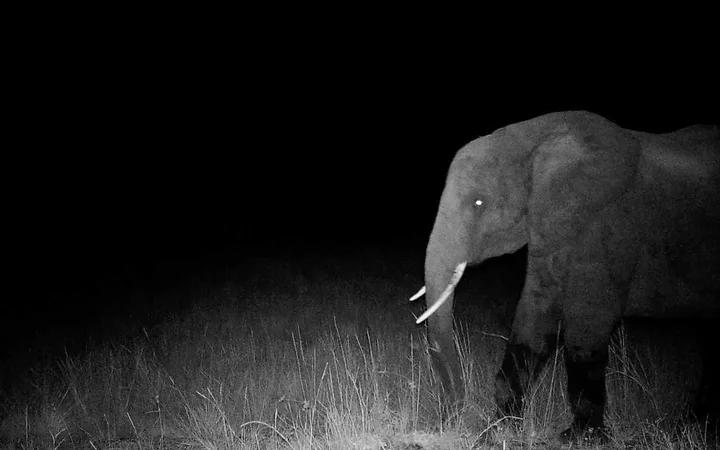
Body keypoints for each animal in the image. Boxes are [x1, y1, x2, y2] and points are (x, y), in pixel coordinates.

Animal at [410, 111, 719, 443]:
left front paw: (580, 437)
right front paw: (502, 428)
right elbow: (535, 317)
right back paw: (694, 425)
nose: (452, 419)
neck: (534, 138)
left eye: (478, 203)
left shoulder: (606, 224)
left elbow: (587, 326)